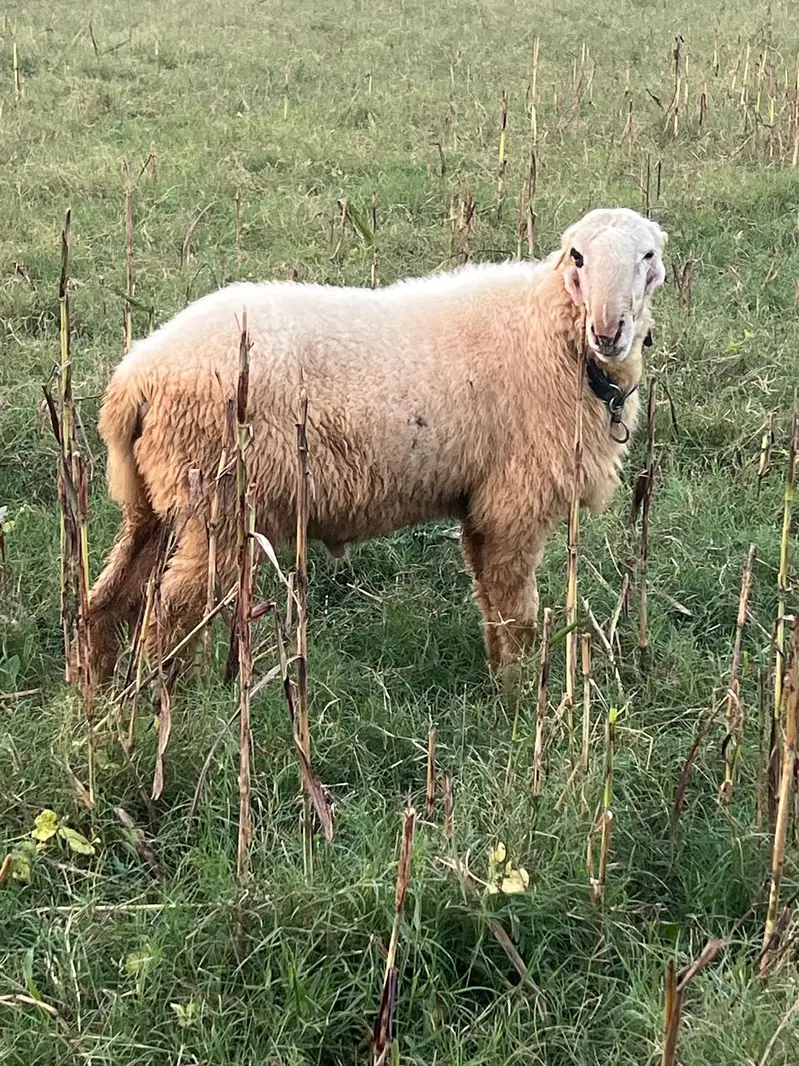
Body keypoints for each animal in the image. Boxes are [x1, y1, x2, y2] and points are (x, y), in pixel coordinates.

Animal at [85, 206, 668, 683]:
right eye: (578, 256)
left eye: (648, 255)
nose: (609, 330)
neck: (552, 332)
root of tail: (136, 376)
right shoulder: (513, 503)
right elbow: (515, 612)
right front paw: (520, 698)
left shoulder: (481, 505)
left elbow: (490, 602)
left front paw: (502, 683)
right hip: (219, 504)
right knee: (170, 616)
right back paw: (170, 707)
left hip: (158, 503)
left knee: (108, 603)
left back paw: (97, 695)